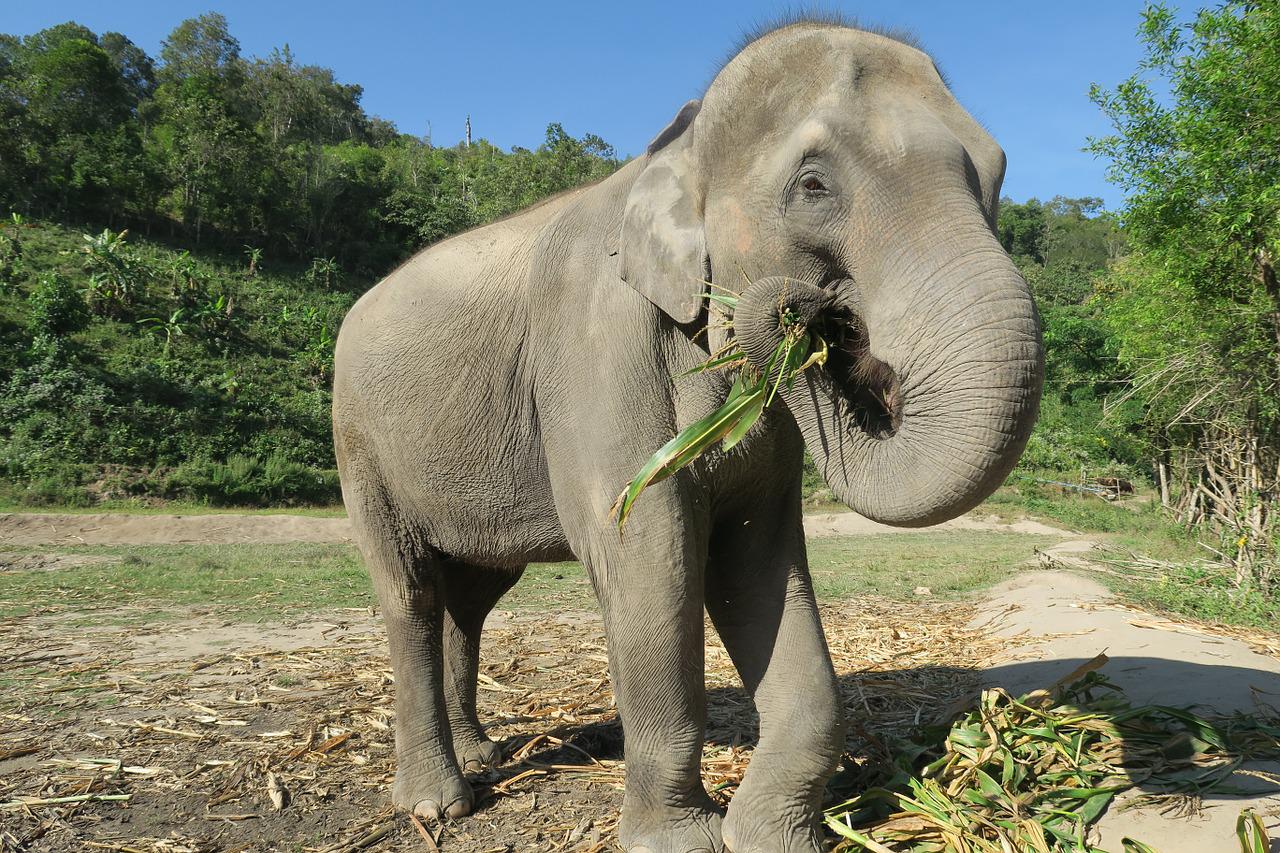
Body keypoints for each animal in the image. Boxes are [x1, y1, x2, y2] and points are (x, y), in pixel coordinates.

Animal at [330, 18, 1039, 850]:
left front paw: (770, 835)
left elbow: (755, 559)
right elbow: (650, 554)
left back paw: (480, 754)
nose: (802, 314)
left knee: (469, 596)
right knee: (409, 589)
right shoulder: (598, 349)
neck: (678, 143)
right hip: (359, 442)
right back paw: (438, 803)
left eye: (996, 174)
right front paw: (682, 838)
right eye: (814, 185)